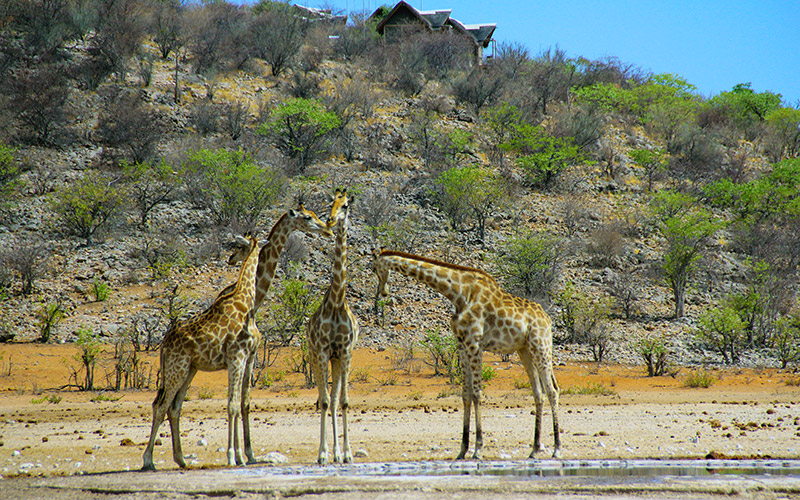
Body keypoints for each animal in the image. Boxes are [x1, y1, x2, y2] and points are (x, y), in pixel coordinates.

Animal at [141, 233, 260, 468]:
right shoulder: (237, 358)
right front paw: (233, 456)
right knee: (161, 406)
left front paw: (243, 456)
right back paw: (149, 461)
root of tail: (164, 343)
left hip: (189, 370)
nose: (230, 258)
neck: (246, 301)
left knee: (174, 407)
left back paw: (181, 459)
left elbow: (241, 404)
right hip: (176, 369)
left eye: (239, 247)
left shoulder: (247, 358)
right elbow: (232, 404)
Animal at [370, 250, 564, 460]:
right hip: (525, 350)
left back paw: (557, 449)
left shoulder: (474, 343)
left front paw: (478, 449)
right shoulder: (462, 345)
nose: (383, 293)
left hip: (541, 346)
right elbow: (465, 394)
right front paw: (462, 450)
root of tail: (548, 319)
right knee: (538, 393)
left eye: (373, 268)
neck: (458, 294)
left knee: (552, 390)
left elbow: (477, 393)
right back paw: (534, 450)